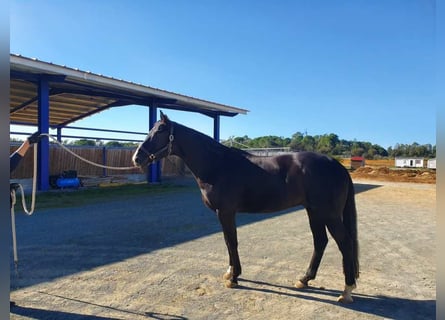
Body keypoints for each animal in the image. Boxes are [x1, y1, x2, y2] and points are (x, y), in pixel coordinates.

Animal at [131, 112, 358, 302]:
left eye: (160, 131)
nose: (136, 158)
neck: (217, 165)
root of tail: (337, 165)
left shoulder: (226, 212)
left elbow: (231, 242)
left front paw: (234, 277)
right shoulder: (224, 213)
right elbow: (228, 242)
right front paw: (230, 272)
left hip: (328, 214)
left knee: (345, 243)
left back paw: (347, 290)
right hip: (314, 212)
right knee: (320, 242)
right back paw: (304, 279)